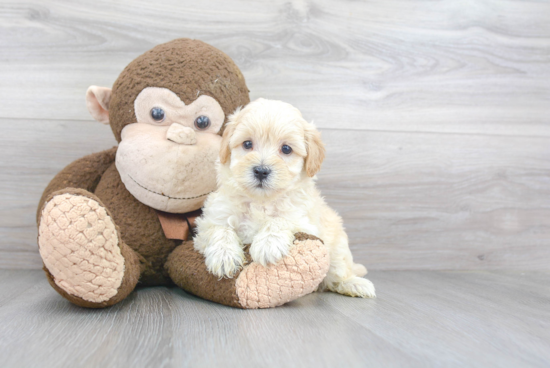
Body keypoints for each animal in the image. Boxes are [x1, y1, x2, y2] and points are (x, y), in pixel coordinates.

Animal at [195, 98, 380, 300]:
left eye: (286, 149)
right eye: (247, 144)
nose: (261, 171)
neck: (261, 201)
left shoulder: (305, 222)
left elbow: (280, 220)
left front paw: (267, 245)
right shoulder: (210, 220)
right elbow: (220, 229)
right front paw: (223, 256)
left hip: (337, 248)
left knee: (337, 274)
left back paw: (355, 284)